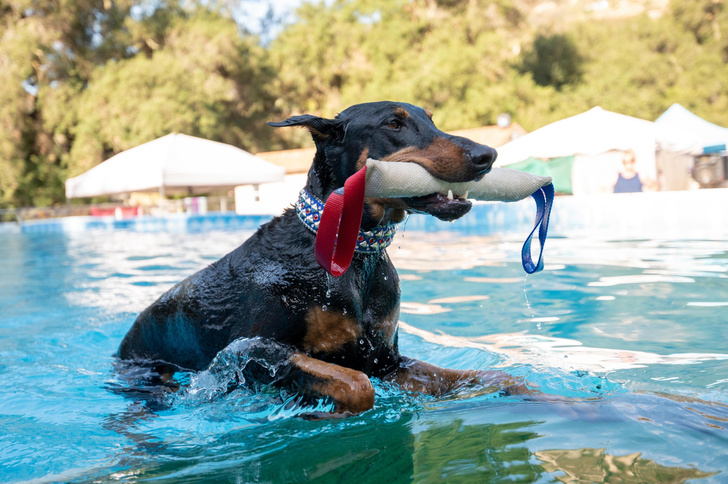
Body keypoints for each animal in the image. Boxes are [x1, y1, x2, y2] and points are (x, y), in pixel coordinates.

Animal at [118, 101, 528, 416]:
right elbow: (357, 385)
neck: (353, 256)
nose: (487, 155)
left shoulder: (388, 360)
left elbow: (496, 376)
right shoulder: (253, 350)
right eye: (393, 123)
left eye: (431, 118)